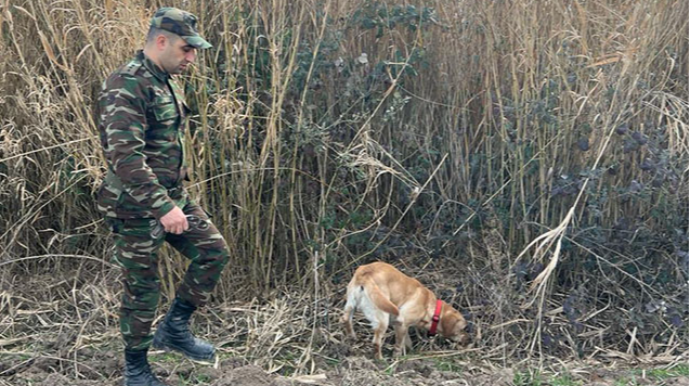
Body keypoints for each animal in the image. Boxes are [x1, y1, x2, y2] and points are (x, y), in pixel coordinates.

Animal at [338, 262, 468, 358]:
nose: (467, 339)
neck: (430, 307)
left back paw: (352, 339)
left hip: (351, 305)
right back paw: (380, 360)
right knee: (376, 342)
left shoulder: (401, 325)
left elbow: (407, 341)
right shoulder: (402, 323)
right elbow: (399, 345)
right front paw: (397, 358)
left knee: (345, 319)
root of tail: (366, 273)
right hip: (383, 318)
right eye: (462, 329)